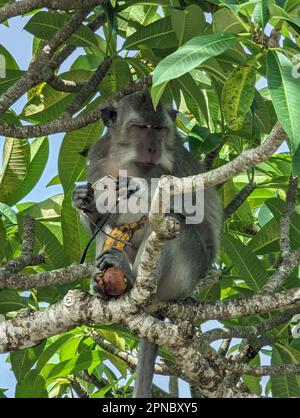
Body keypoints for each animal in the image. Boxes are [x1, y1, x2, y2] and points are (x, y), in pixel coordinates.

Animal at [72, 91, 223, 398]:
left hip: (185, 275)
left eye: (160, 129)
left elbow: (196, 212)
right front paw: (87, 203)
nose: (153, 148)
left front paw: (139, 186)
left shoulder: (177, 162)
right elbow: (101, 221)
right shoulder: (98, 155)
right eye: (141, 128)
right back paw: (106, 282)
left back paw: (131, 278)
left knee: (176, 225)